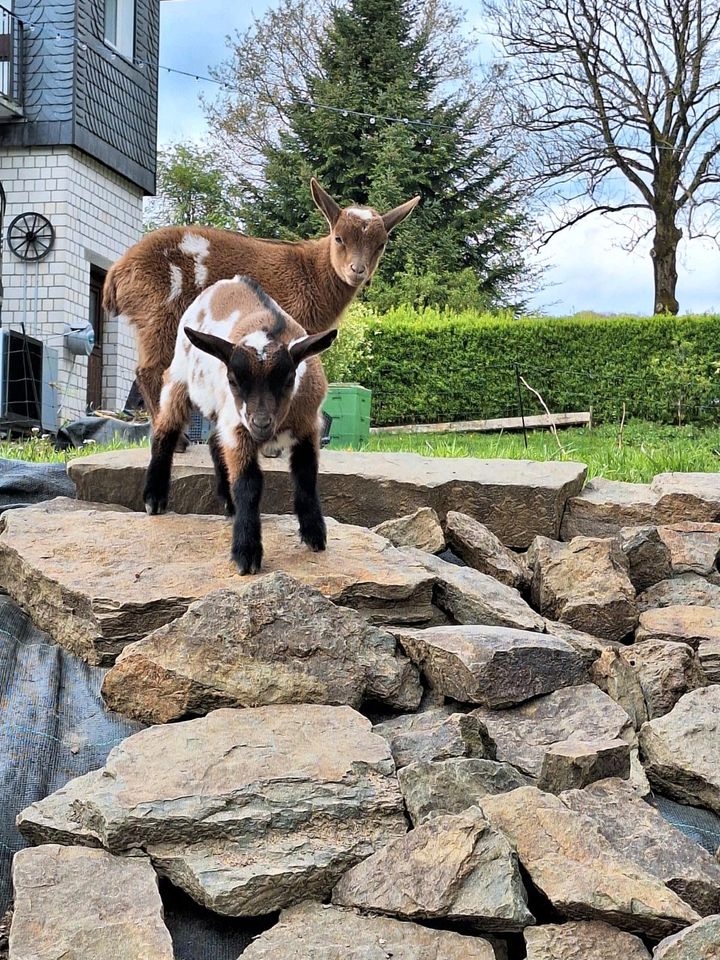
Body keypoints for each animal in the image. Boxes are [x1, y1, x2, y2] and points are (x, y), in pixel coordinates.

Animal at [107, 177, 422, 424]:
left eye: (381, 244)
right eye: (339, 238)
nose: (358, 271)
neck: (311, 273)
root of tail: (119, 272)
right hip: (159, 310)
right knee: (149, 371)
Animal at [146, 274, 340, 572]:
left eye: (288, 379)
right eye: (234, 379)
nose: (260, 422)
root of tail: (230, 281)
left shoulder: (309, 426)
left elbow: (306, 475)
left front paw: (314, 534)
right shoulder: (239, 429)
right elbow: (248, 484)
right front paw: (246, 554)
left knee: (214, 442)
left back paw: (228, 503)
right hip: (179, 378)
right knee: (165, 429)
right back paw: (154, 498)